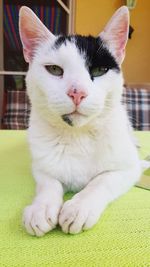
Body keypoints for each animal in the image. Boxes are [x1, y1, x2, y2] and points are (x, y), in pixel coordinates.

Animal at [19, 5, 142, 237]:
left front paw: (79, 207)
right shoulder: (39, 166)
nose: (77, 93)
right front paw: (41, 207)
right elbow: (48, 183)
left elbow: (101, 181)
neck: (77, 136)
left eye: (99, 70)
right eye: (54, 69)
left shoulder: (131, 168)